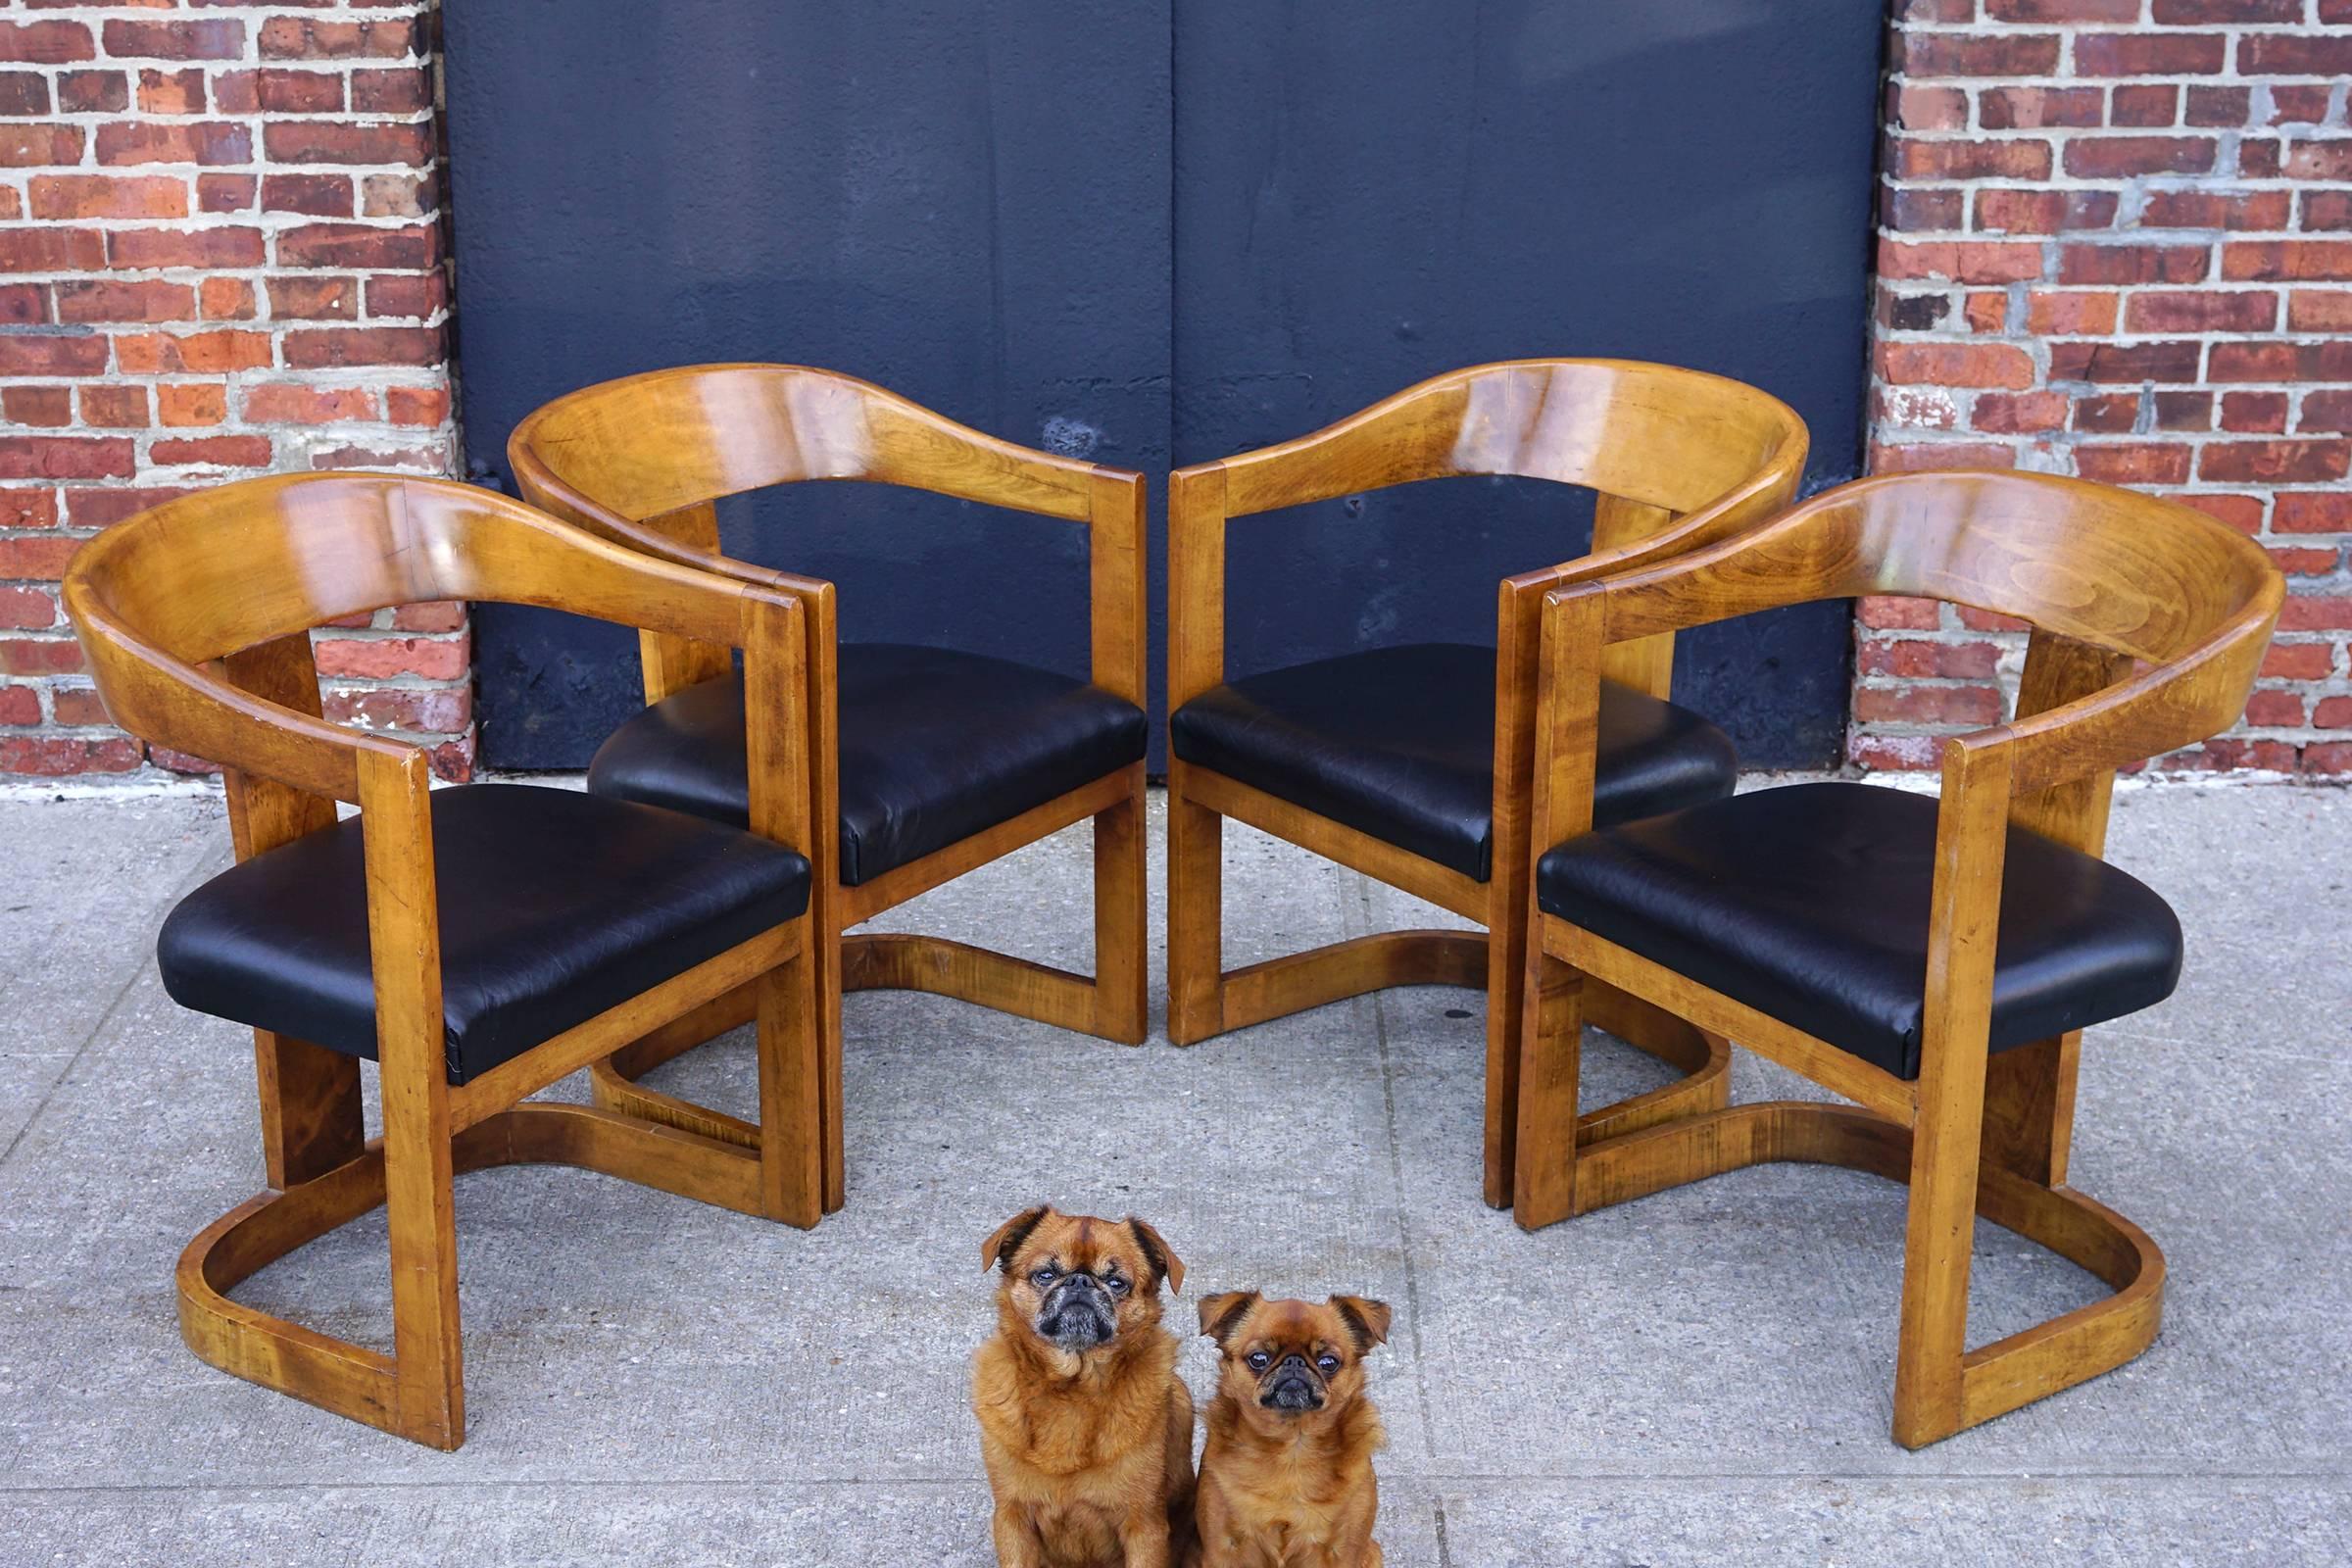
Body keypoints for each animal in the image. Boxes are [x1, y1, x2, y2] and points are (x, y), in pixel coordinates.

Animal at [973, 1212, 1195, 1568]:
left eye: (1116, 1283)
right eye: (1045, 1275)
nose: (1080, 1281)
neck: (1072, 1390)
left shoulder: (1144, 1527)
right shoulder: (1012, 1519)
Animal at [1195, 1298, 1373, 1560]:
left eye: (1328, 1363)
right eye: (1258, 1358)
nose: (1294, 1362)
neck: (1292, 1447)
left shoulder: (1344, 1552)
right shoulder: (1222, 1548)